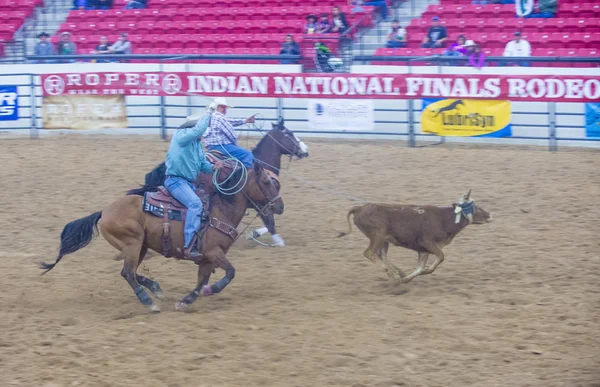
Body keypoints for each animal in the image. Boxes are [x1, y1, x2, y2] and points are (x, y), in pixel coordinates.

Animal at [41, 162, 284, 314]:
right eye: (266, 182)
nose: (280, 206)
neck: (220, 209)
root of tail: (104, 211)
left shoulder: (207, 259)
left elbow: (201, 282)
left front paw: (185, 301)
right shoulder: (213, 253)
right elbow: (231, 273)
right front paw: (210, 291)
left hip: (140, 247)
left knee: (129, 272)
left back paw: (156, 289)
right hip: (132, 244)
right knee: (128, 273)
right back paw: (149, 302)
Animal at [338, 192, 492, 284]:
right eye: (477, 208)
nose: (490, 215)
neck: (443, 219)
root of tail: (359, 208)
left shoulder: (423, 250)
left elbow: (420, 267)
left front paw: (406, 278)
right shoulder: (427, 242)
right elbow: (440, 257)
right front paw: (421, 273)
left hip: (384, 240)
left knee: (382, 255)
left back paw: (397, 274)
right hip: (378, 234)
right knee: (369, 253)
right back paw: (391, 272)